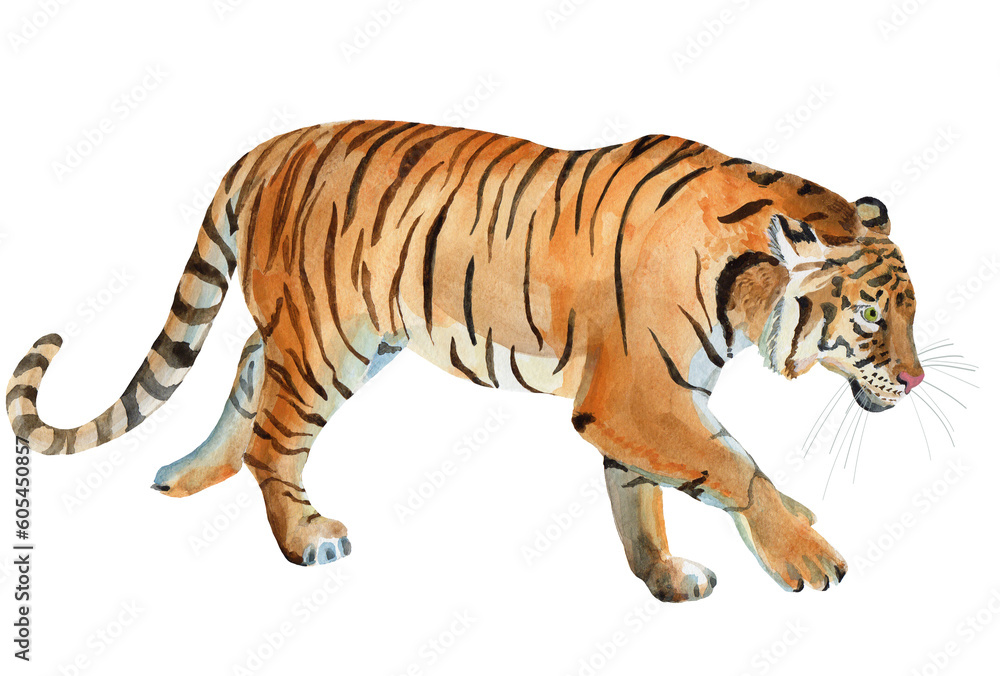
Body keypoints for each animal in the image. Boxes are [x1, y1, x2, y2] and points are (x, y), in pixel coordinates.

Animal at [6, 119, 923, 602]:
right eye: (873, 316)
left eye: (914, 313)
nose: (917, 381)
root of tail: (269, 146)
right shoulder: (638, 397)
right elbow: (733, 467)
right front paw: (806, 553)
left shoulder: (639, 406)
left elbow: (645, 497)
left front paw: (665, 577)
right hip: (326, 345)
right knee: (275, 440)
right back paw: (307, 540)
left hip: (325, 336)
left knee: (244, 371)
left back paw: (187, 474)